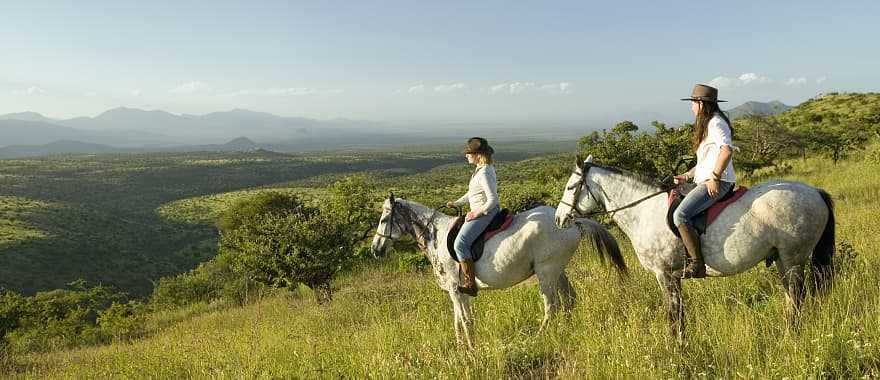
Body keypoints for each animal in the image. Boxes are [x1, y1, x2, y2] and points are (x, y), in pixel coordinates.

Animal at [372, 194, 624, 346]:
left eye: (384, 219)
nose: (376, 249)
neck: (437, 236)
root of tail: (571, 223)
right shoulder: (458, 293)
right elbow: (460, 321)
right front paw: (462, 347)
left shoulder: (455, 290)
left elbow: (465, 321)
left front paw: (470, 349)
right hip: (557, 270)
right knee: (569, 299)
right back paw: (565, 330)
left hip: (547, 272)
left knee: (551, 306)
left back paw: (539, 336)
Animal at [552, 155, 836, 342]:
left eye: (570, 187)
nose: (558, 218)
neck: (644, 210)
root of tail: (814, 191)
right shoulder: (671, 276)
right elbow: (679, 313)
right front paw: (681, 343)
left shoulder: (665, 274)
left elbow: (673, 313)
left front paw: (676, 348)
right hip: (781, 259)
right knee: (791, 296)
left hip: (793, 258)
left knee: (797, 296)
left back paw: (790, 336)